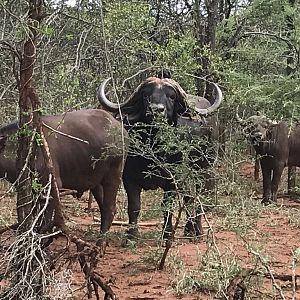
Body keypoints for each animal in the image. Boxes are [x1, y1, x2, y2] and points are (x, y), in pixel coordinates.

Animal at [97, 77, 221, 239]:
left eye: (172, 96)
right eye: (145, 95)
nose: (156, 109)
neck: (155, 148)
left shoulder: (173, 180)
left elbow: (167, 207)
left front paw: (167, 234)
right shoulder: (129, 178)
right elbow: (134, 206)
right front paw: (132, 235)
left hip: (203, 170)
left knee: (197, 197)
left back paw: (196, 230)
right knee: (189, 197)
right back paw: (189, 229)